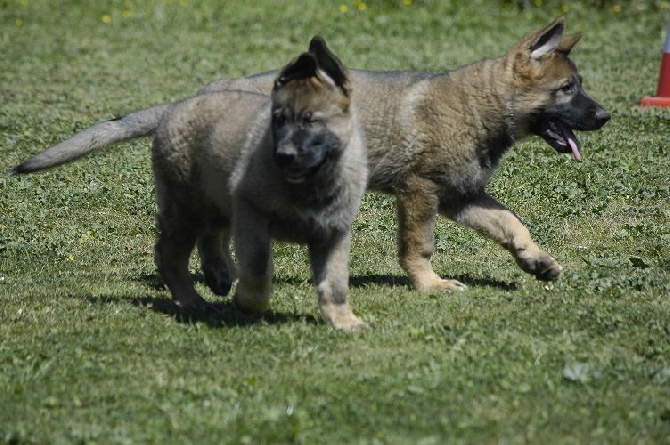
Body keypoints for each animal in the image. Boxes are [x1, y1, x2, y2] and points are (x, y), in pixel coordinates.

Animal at [10, 18, 612, 292]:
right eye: (568, 90)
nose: (606, 116)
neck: (480, 106)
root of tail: (197, 95)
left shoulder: (461, 195)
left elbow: (511, 223)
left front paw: (537, 261)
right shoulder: (421, 193)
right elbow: (419, 248)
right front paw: (430, 286)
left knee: (212, 231)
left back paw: (221, 275)